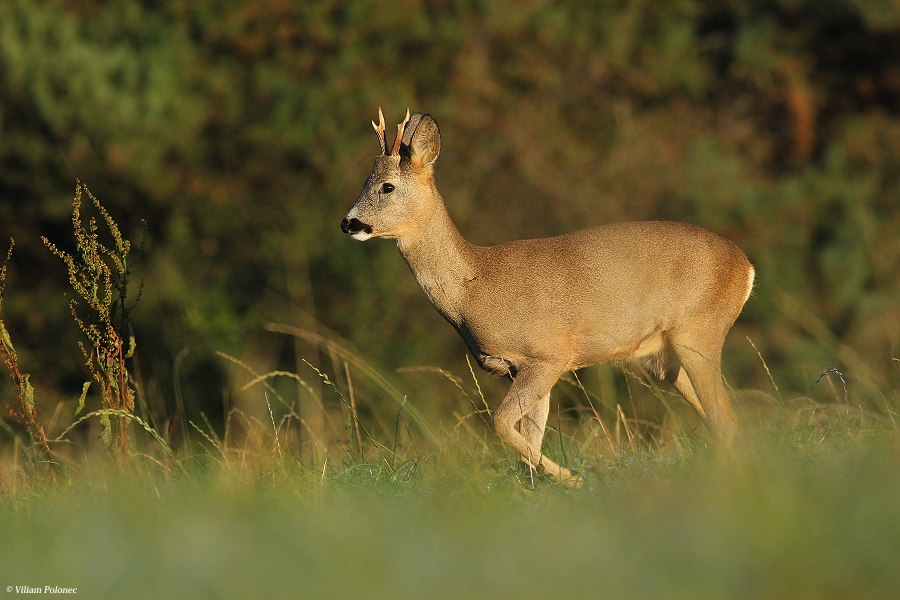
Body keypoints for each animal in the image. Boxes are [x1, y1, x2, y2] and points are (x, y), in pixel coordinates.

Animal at [342, 109, 756, 488]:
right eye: (364, 181)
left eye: (387, 187)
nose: (348, 223)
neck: (473, 287)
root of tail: (745, 266)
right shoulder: (521, 367)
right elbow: (530, 439)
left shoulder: (548, 354)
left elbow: (502, 424)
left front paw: (575, 479)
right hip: (665, 355)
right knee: (719, 421)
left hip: (698, 330)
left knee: (728, 420)